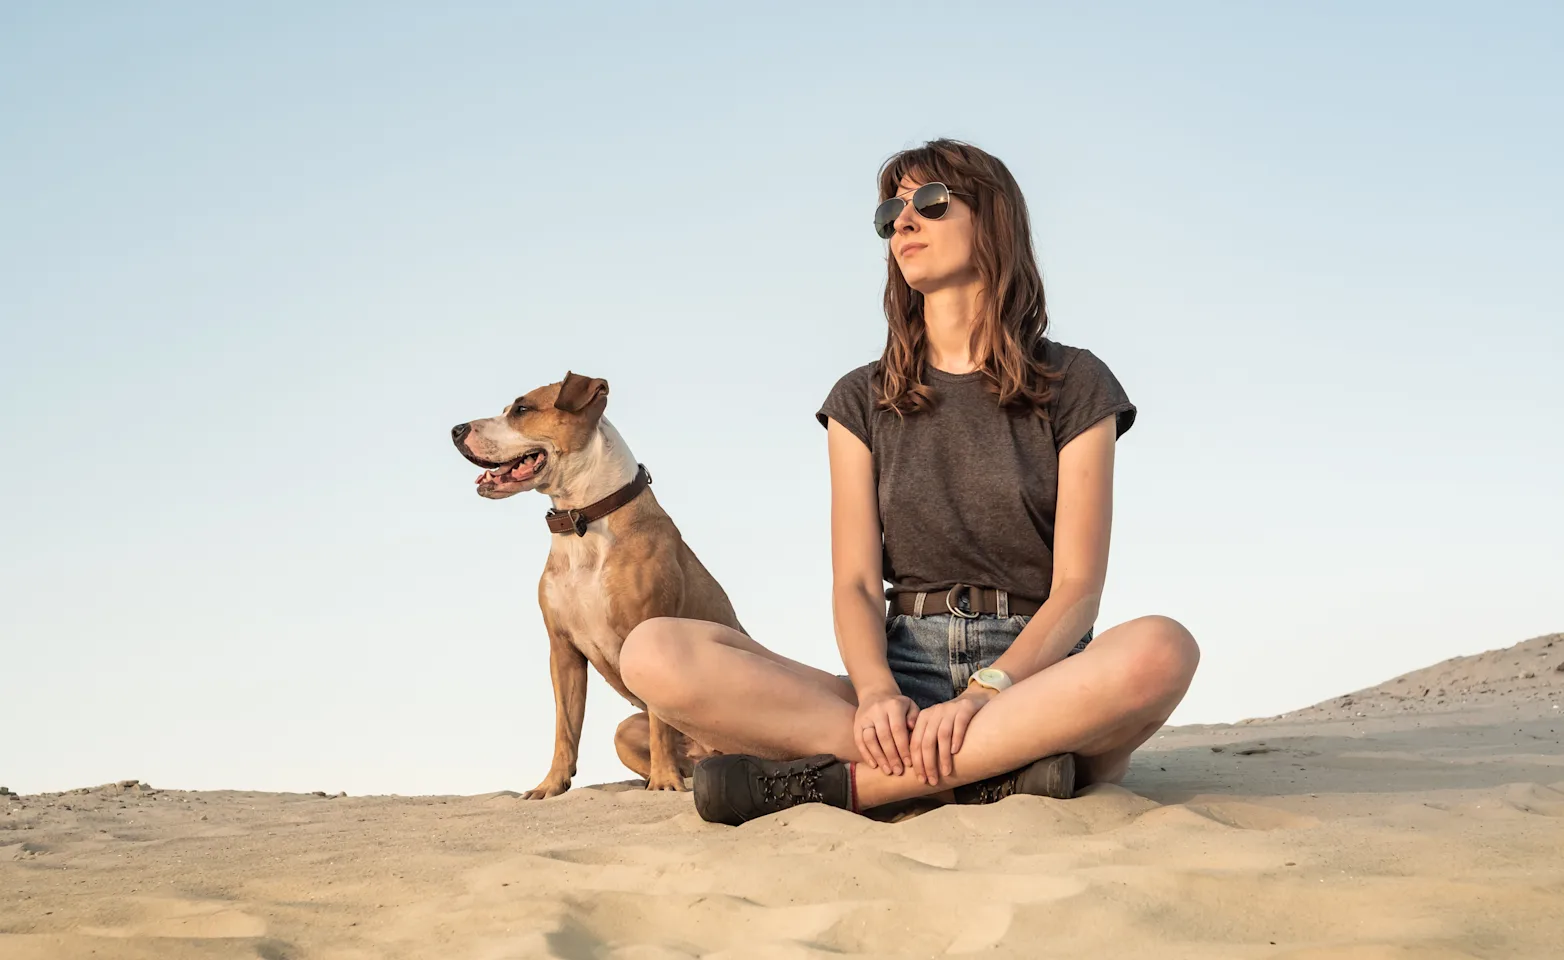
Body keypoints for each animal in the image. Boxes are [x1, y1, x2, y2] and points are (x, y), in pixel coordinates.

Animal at [450, 372, 741, 800]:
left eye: (522, 408)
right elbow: (565, 727)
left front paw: (665, 780)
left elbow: (659, 724)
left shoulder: (648, 634)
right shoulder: (562, 650)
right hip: (625, 732)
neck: (583, 520)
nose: (456, 430)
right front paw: (551, 784)